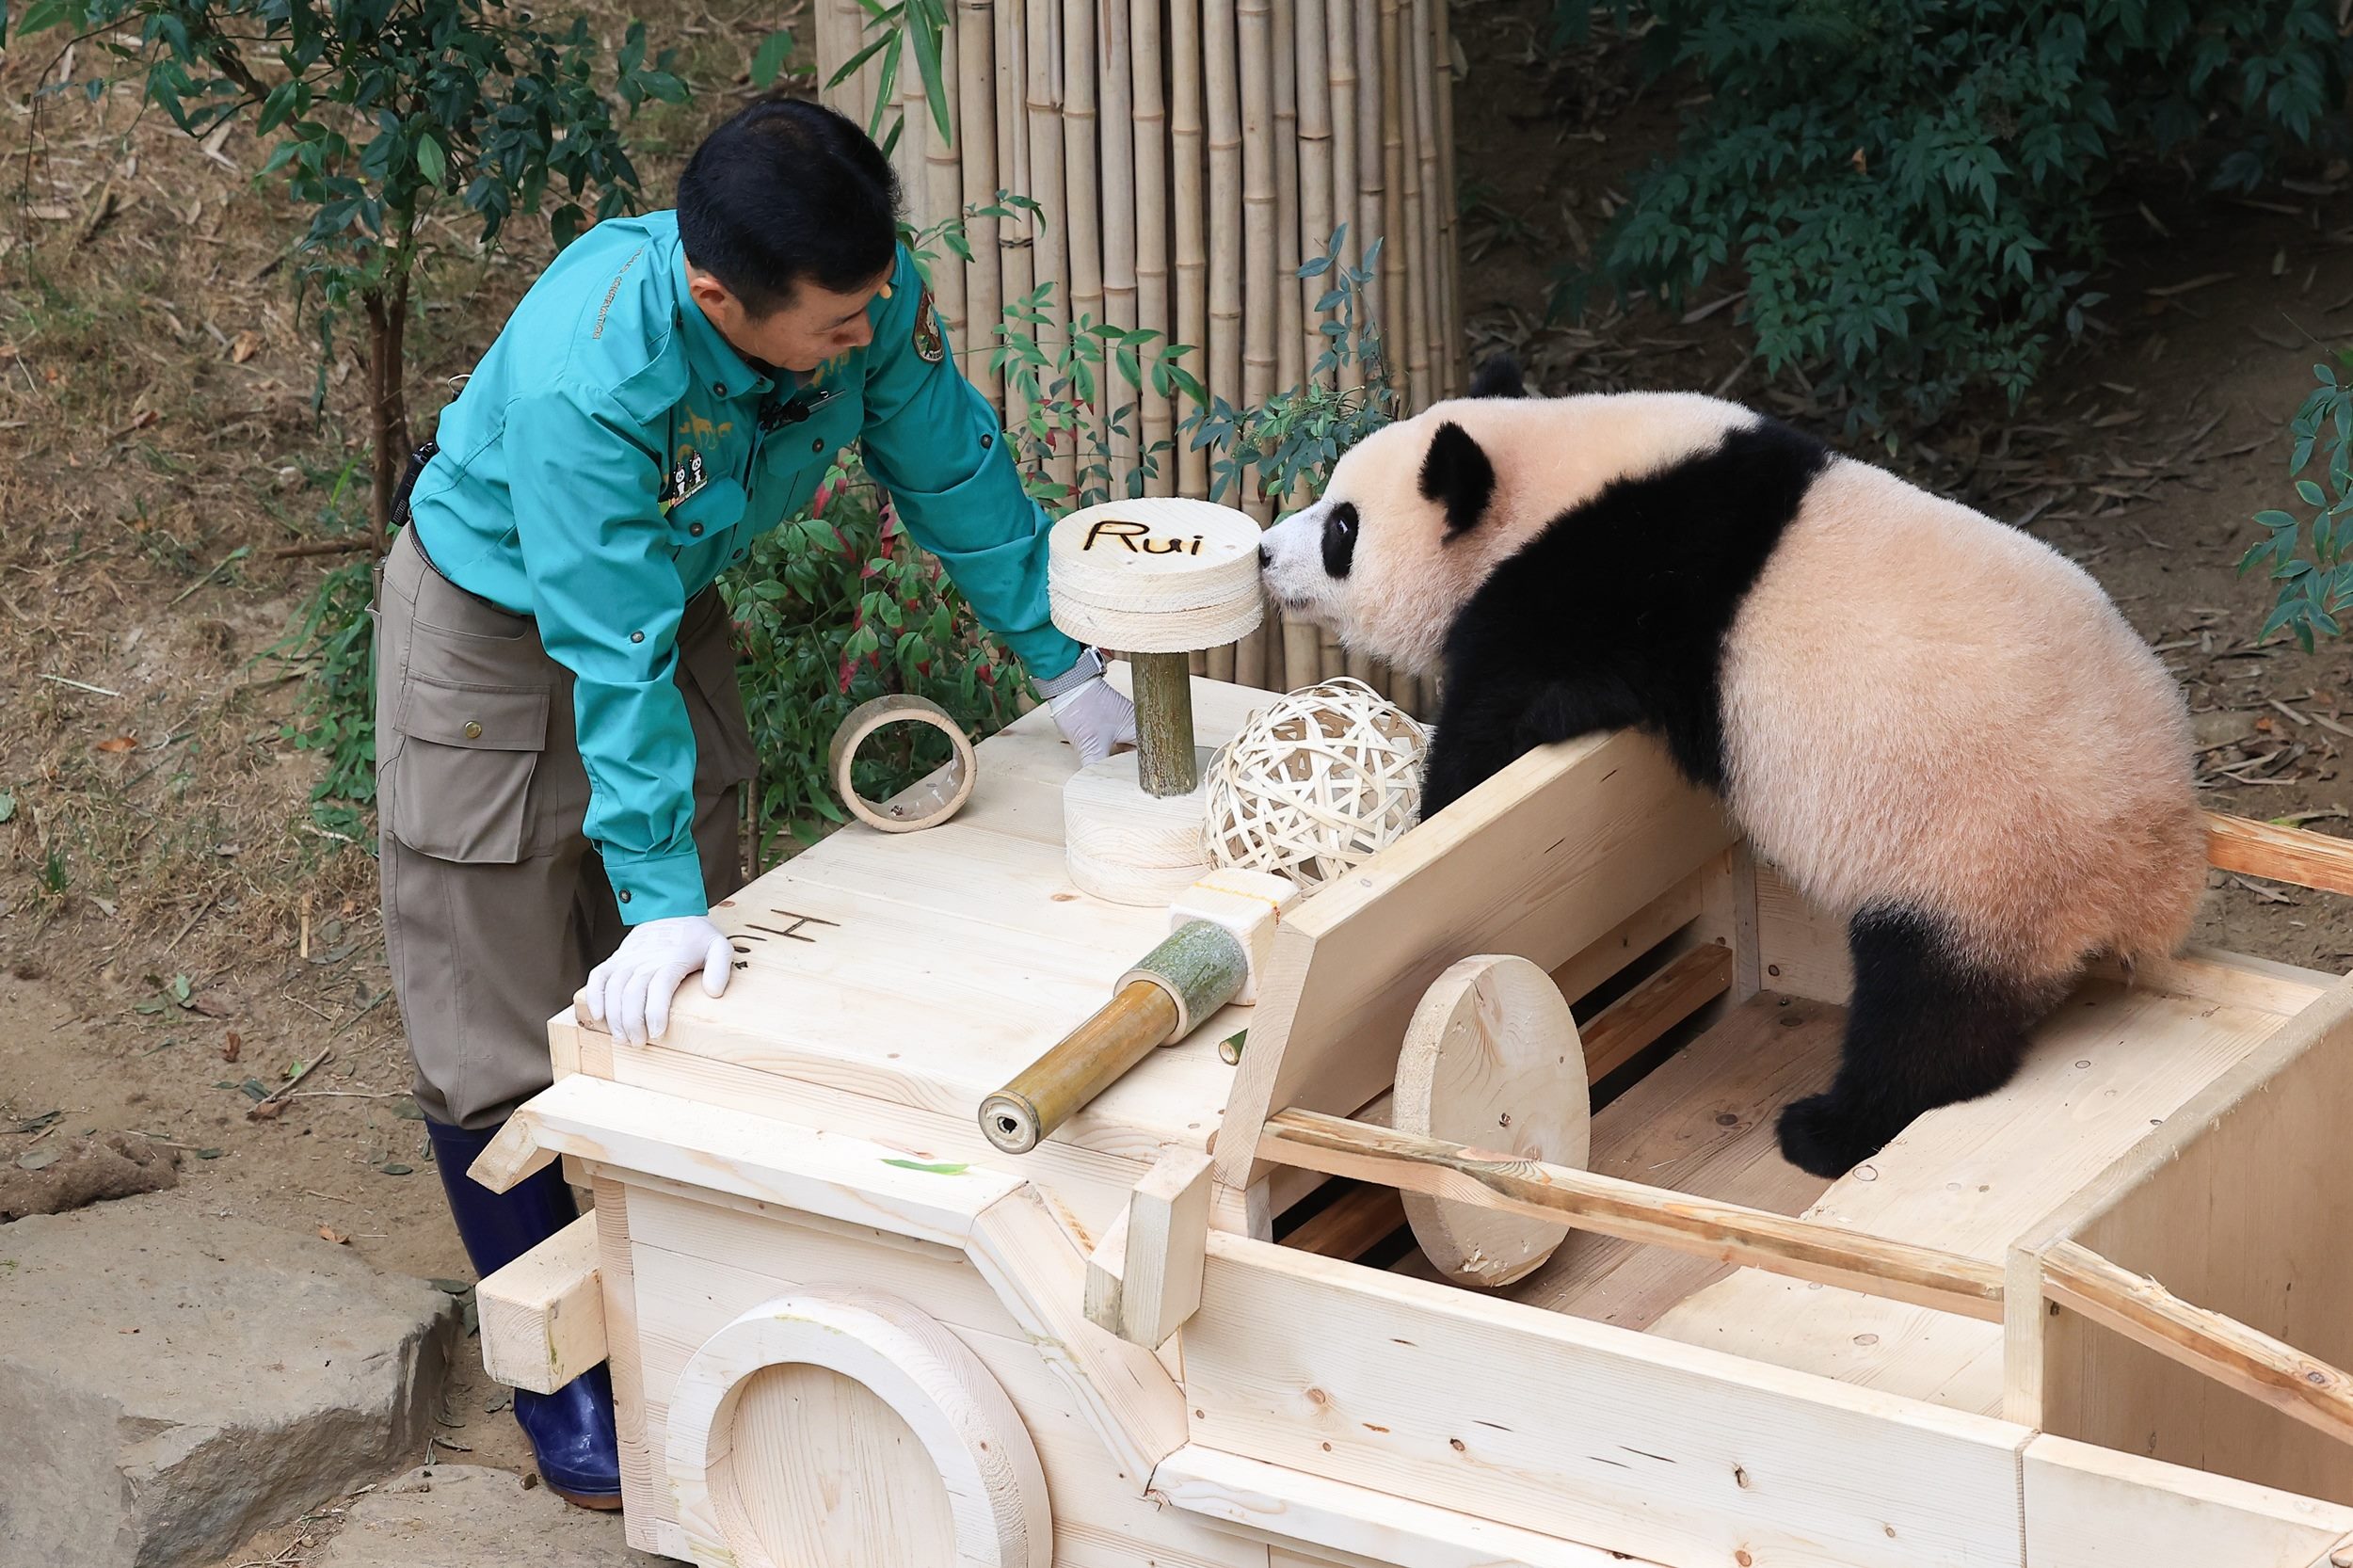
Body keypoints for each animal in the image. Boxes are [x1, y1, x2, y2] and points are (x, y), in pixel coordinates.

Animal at [1261, 358, 2212, 1172]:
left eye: (1342, 526)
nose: (1268, 553)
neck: (1553, 478)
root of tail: (2160, 865)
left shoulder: (1612, 578)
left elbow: (1510, 710)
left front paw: (1436, 803)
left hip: (1987, 851)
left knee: (1930, 1010)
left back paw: (1829, 1128)